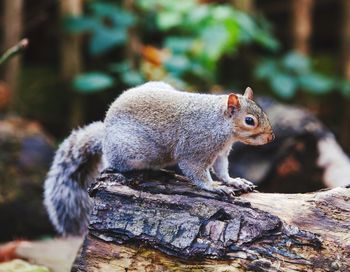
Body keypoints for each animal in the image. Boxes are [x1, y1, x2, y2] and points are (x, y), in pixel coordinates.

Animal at [43, 81, 274, 236]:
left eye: (264, 112)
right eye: (250, 121)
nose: (271, 137)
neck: (219, 123)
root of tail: (105, 135)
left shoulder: (221, 153)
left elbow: (223, 170)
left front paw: (233, 181)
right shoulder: (196, 148)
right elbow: (196, 171)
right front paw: (214, 187)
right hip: (134, 150)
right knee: (114, 163)